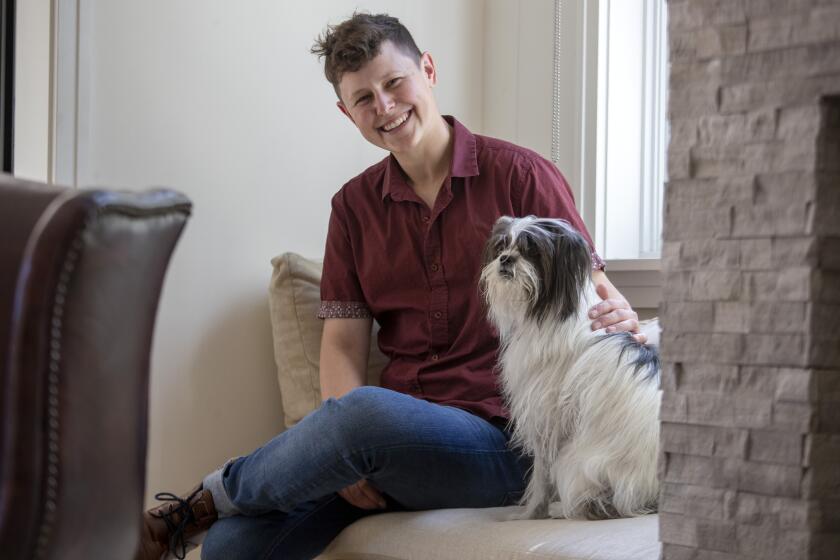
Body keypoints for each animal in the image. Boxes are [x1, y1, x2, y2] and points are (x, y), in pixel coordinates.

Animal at [480, 215, 664, 520]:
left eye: (532, 250)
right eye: (502, 246)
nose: (506, 259)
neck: (551, 310)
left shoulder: (545, 414)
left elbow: (541, 476)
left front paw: (532, 512)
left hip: (575, 463)